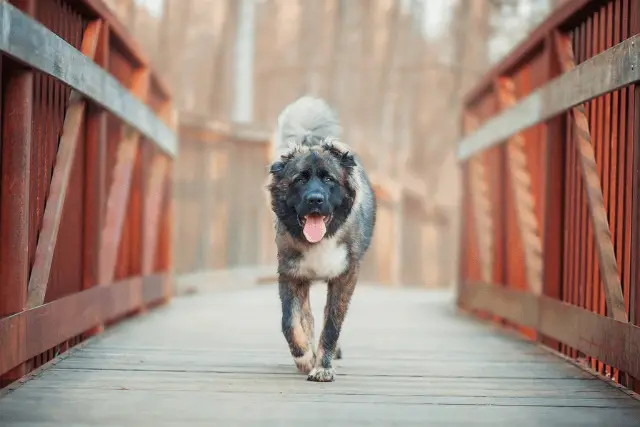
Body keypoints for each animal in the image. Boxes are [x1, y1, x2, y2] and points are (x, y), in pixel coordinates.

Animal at [264, 97, 376, 384]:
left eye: (328, 179)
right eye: (299, 179)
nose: (315, 199)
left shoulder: (344, 277)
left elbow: (332, 326)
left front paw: (322, 366)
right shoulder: (291, 275)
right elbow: (290, 321)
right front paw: (304, 356)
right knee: (308, 318)